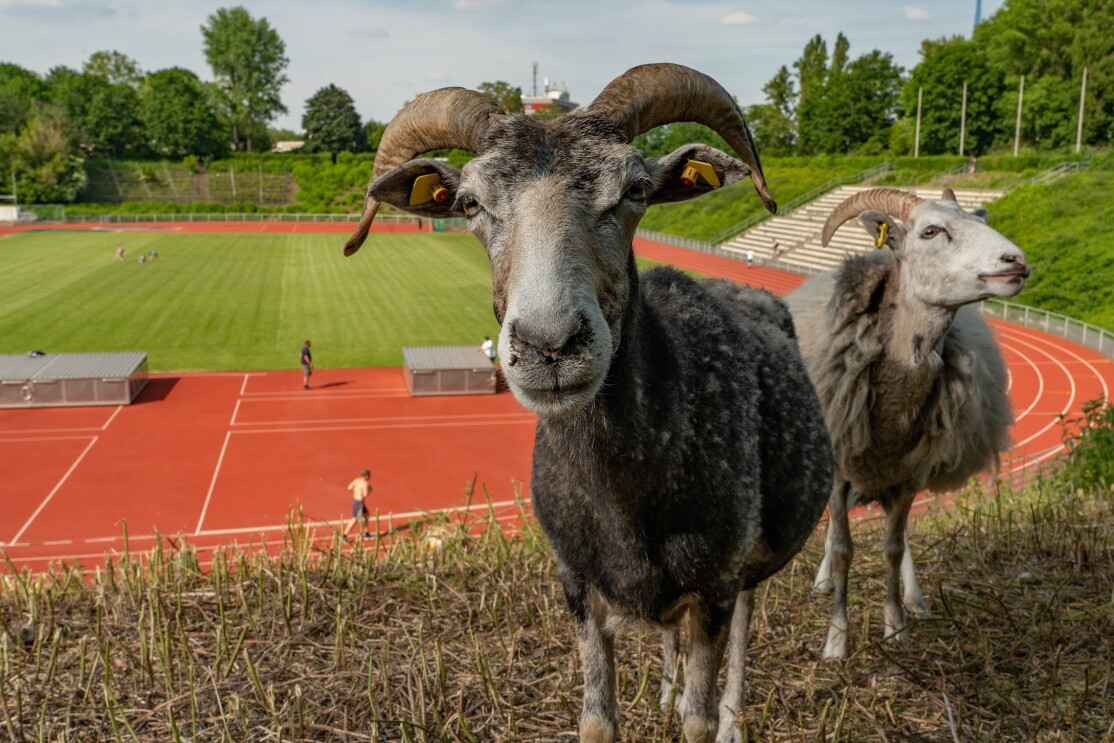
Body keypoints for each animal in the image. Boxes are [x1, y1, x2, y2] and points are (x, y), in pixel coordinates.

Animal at [344, 63, 834, 743]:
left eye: (636, 189)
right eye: (468, 204)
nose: (549, 344)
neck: (626, 496)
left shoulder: (715, 583)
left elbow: (699, 718)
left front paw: (705, 714)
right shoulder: (577, 585)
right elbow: (598, 719)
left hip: (744, 573)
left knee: (740, 634)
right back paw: (664, 689)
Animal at [784, 187, 1030, 659]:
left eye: (979, 219)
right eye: (931, 231)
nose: (1016, 261)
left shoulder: (910, 474)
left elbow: (893, 548)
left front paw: (896, 624)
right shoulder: (840, 468)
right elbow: (842, 548)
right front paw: (837, 639)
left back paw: (915, 598)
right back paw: (824, 583)